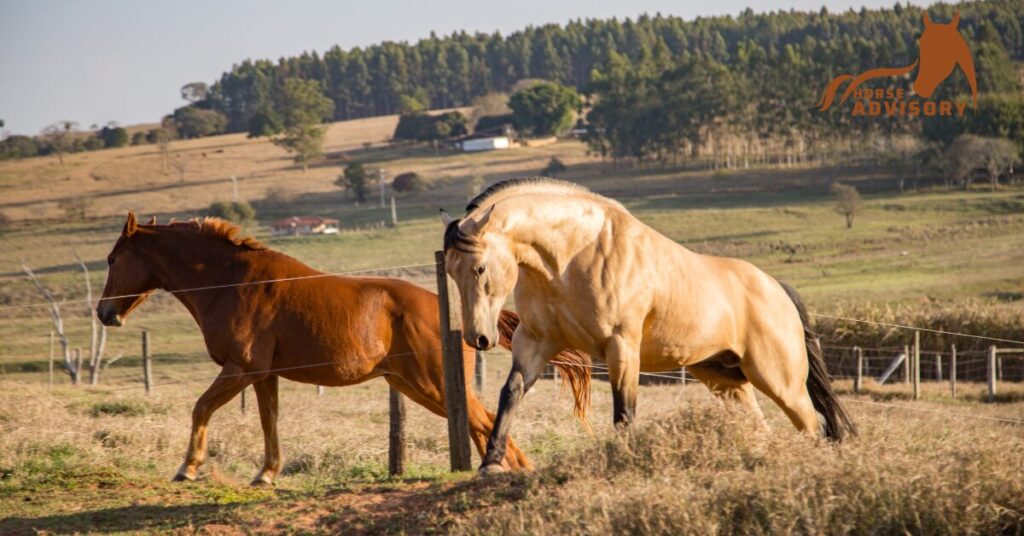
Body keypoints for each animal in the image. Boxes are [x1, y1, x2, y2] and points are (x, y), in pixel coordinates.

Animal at [96, 214, 593, 485]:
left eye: (113, 258)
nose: (104, 312)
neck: (229, 282)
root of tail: (461, 318)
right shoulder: (263, 375)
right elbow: (269, 423)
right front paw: (266, 474)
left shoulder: (240, 368)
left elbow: (201, 408)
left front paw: (188, 467)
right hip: (416, 387)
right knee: (484, 423)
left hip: (432, 386)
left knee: (485, 422)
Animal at [446, 179, 856, 473]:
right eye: (451, 271)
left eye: (479, 268)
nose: (478, 337)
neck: (572, 256)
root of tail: (777, 289)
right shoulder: (535, 342)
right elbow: (510, 393)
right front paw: (491, 463)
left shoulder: (621, 347)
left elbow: (624, 411)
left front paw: (621, 461)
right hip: (726, 382)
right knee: (763, 426)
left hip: (778, 381)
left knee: (813, 423)